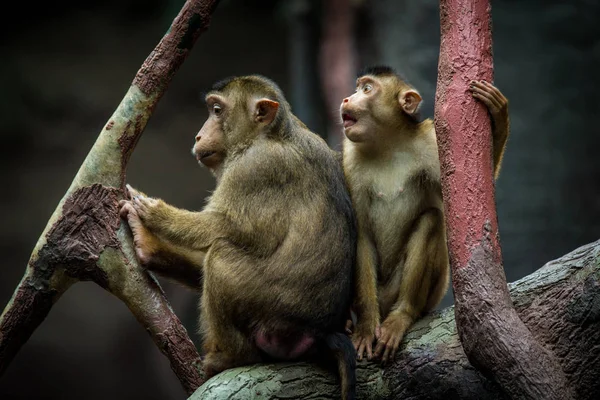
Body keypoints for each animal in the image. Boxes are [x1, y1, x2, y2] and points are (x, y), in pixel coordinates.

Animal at [119, 75, 358, 400]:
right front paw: (148, 244)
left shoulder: (254, 169)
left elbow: (221, 226)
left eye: (218, 111)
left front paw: (153, 212)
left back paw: (232, 357)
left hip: (274, 307)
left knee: (220, 257)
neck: (273, 134)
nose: (198, 136)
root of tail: (317, 330)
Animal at [340, 67, 508, 364]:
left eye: (367, 89)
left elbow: (471, 186)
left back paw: (402, 315)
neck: (386, 144)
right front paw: (365, 326)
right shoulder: (350, 162)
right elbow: (360, 232)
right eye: (358, 88)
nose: (348, 98)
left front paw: (498, 117)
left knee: (431, 220)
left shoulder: (429, 145)